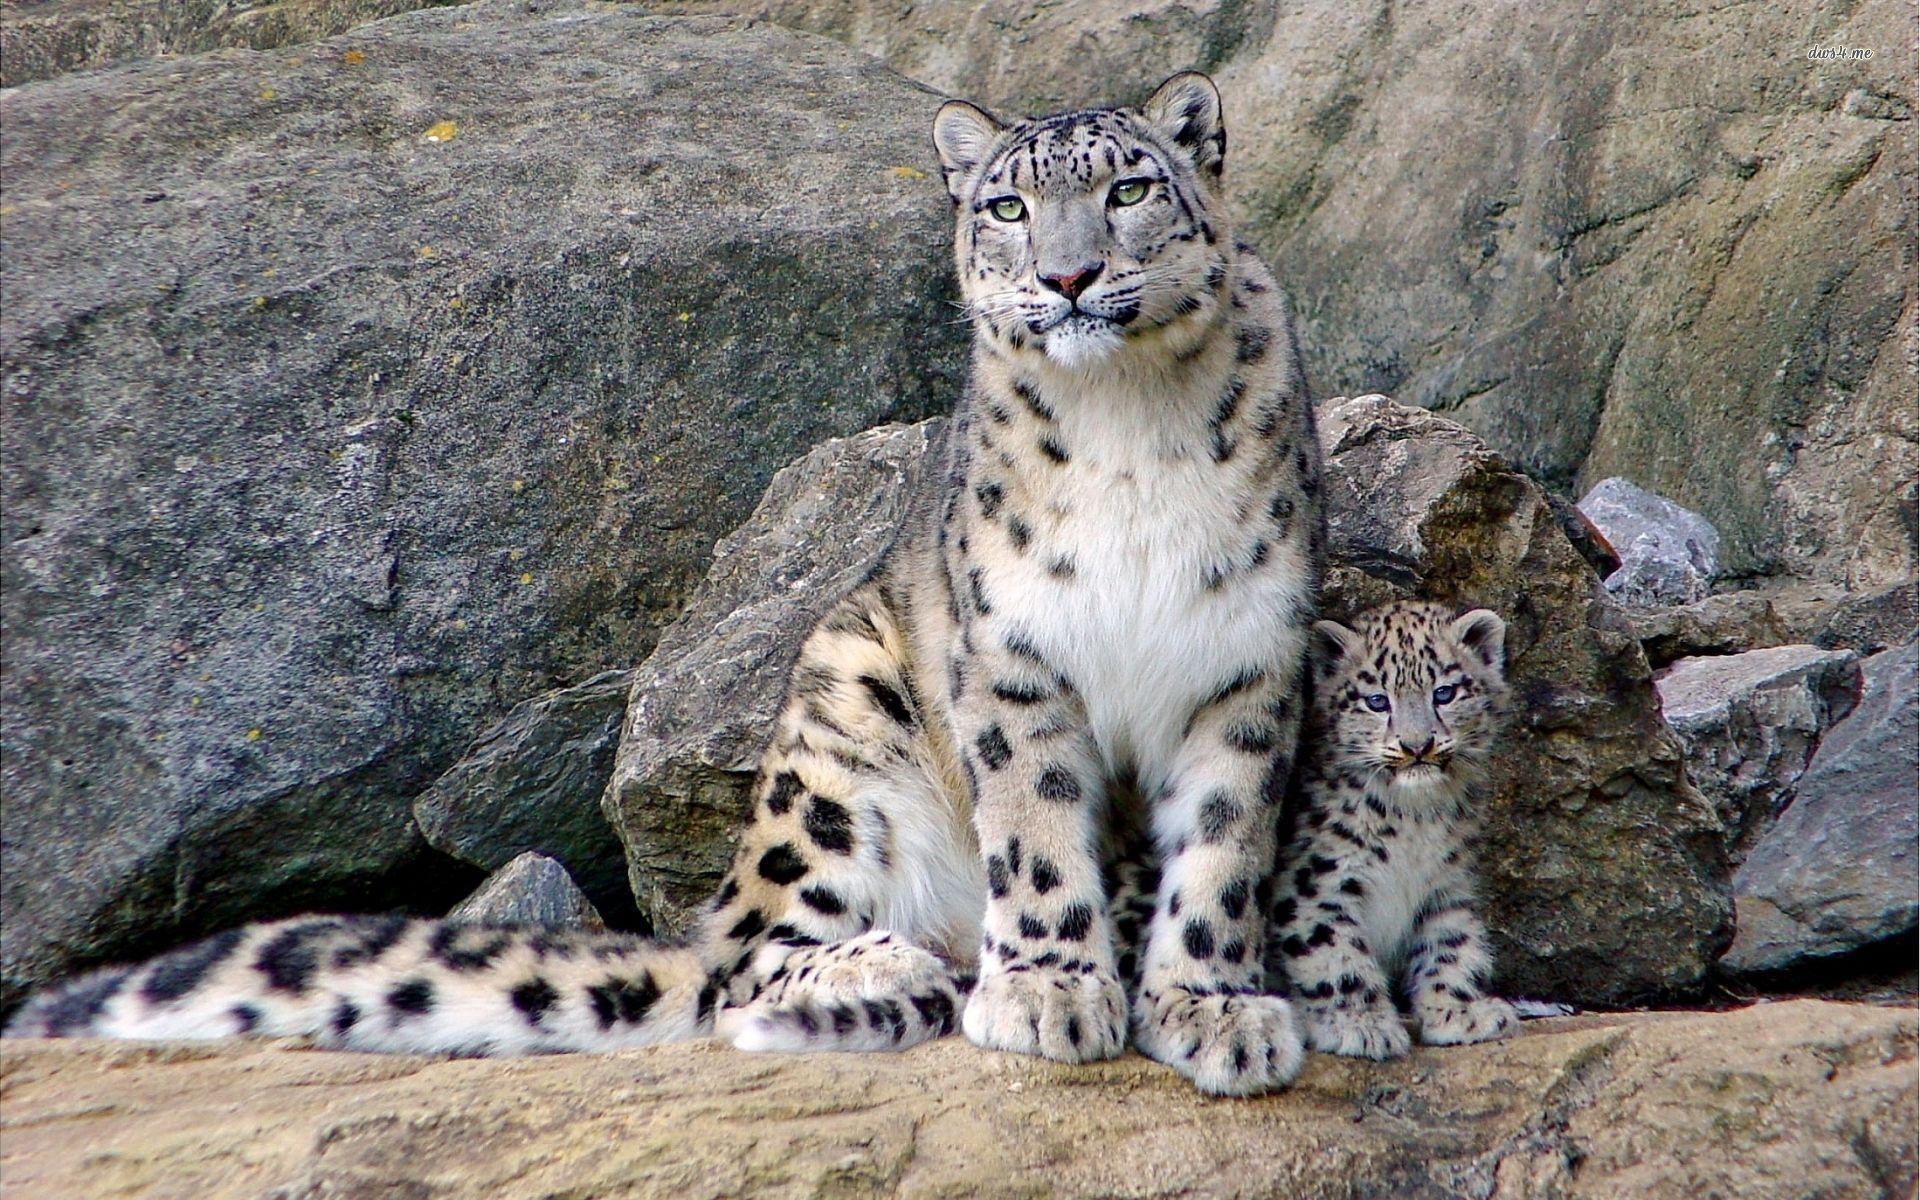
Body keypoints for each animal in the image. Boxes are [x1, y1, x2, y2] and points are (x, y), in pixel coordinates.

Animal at [6, 71, 1326, 1097]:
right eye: (1007, 205)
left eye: (1129, 190)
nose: (1069, 277)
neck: (1130, 428)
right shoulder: (1011, 659)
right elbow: (1039, 831)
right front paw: (1052, 992)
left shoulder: (1249, 658)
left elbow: (1223, 846)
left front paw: (1216, 1009)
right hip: (838, 723)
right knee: (743, 957)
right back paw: (888, 963)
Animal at [1267, 600, 1519, 1059]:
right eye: (1376, 701)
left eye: (1444, 692)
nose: (1417, 746)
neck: (1414, 820)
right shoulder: (1316, 884)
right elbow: (1334, 953)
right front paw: (1360, 1024)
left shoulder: (1448, 883)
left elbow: (1451, 945)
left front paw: (1460, 1012)